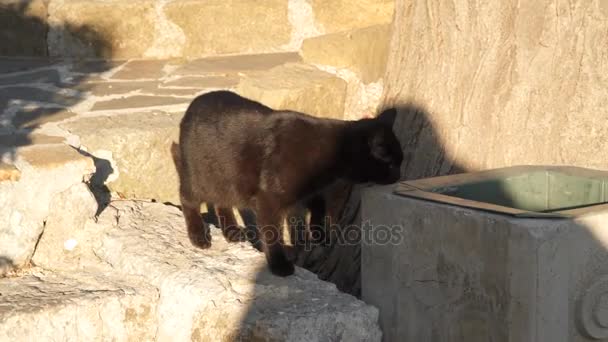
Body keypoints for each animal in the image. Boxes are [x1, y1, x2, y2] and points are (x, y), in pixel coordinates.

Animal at [172, 90, 404, 276]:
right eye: (392, 164)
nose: (399, 175)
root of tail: (193, 104)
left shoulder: (307, 191)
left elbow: (319, 204)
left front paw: (320, 233)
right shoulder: (269, 200)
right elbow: (272, 234)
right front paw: (279, 265)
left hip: (227, 181)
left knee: (222, 203)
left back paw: (231, 231)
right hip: (200, 178)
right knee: (187, 198)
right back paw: (198, 235)